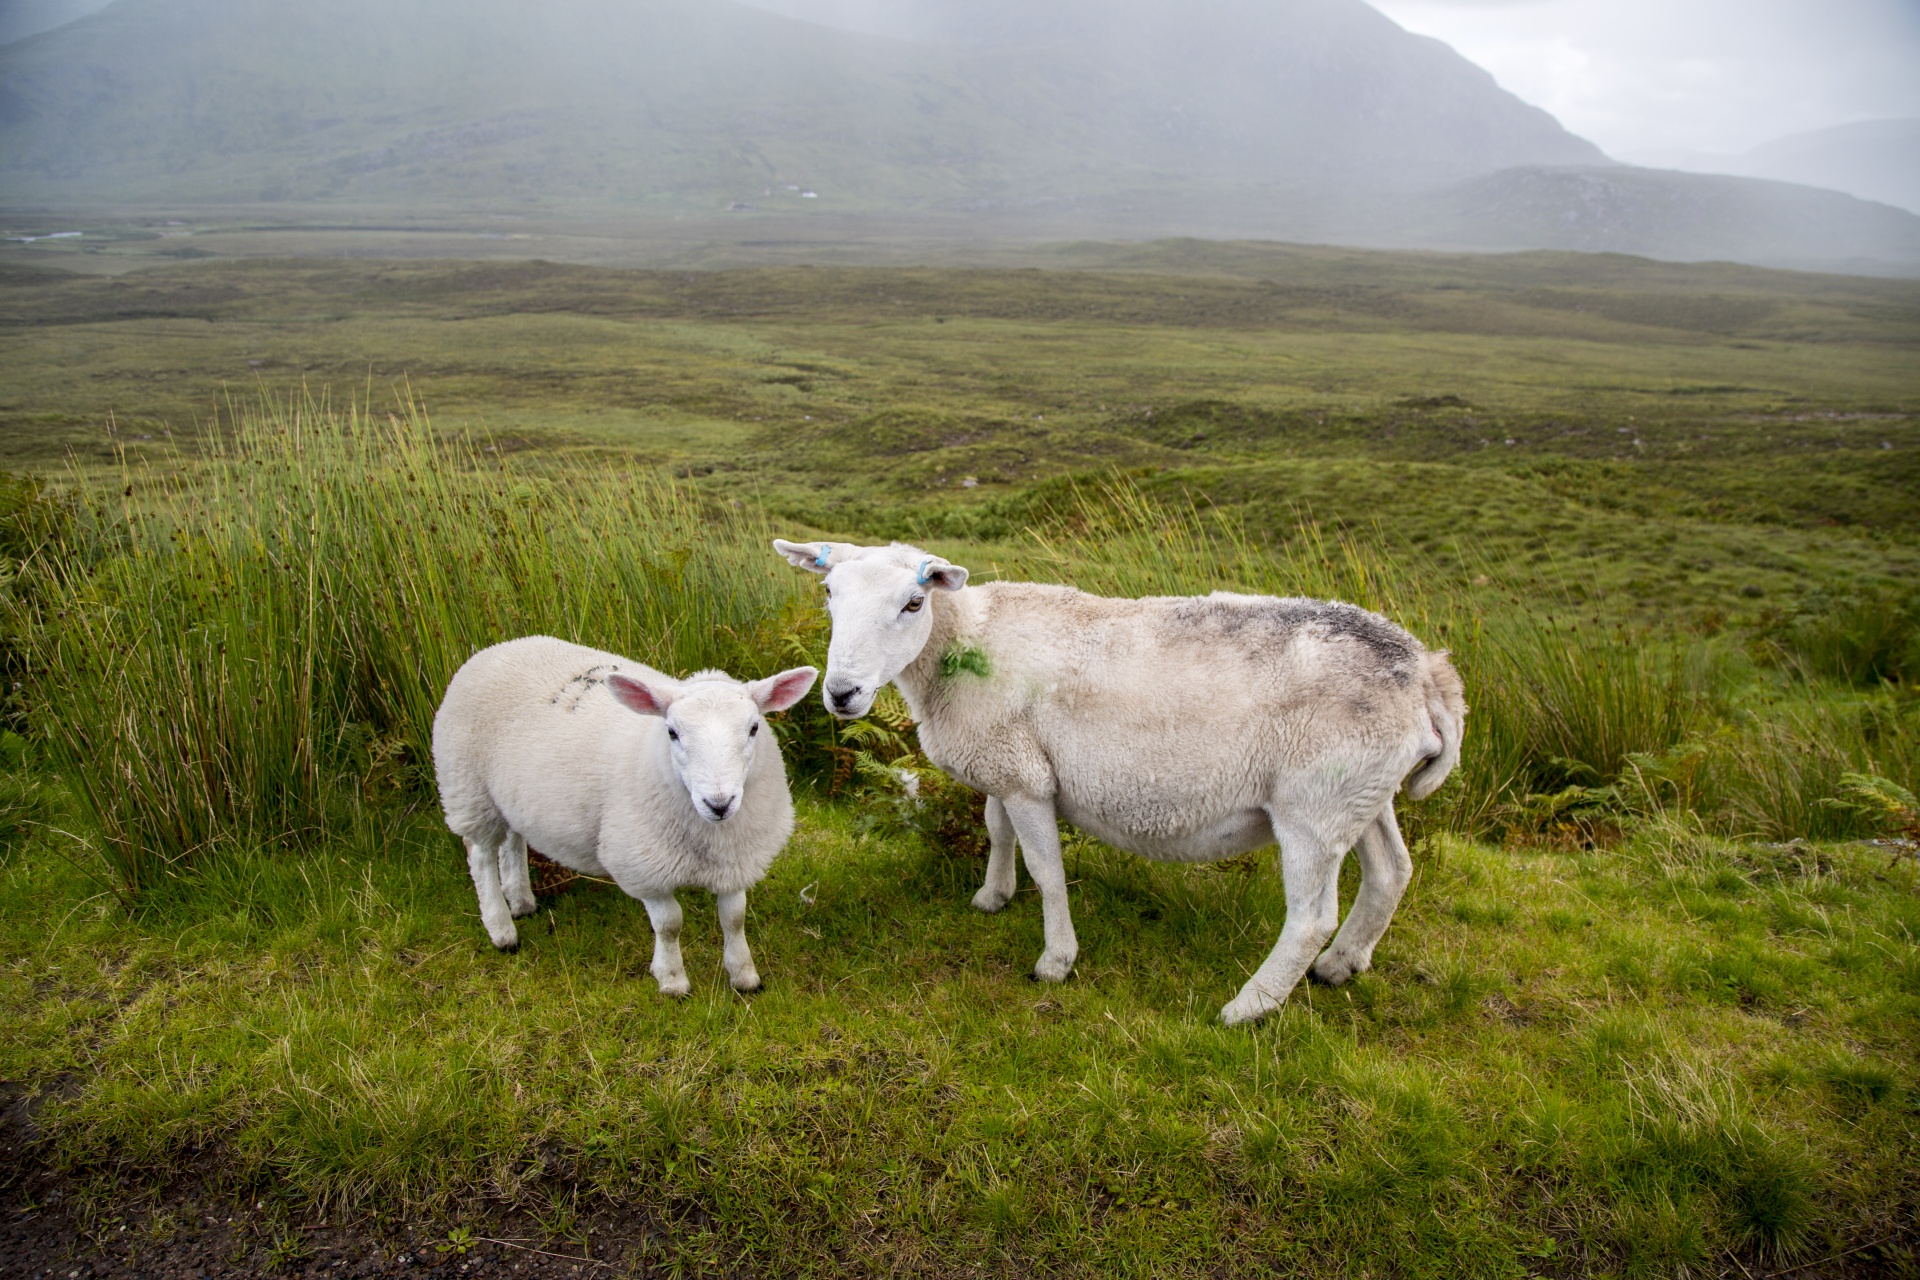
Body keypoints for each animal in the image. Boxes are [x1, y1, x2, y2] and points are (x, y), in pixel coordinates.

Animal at [435, 637, 817, 997]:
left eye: (754, 728)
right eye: (672, 732)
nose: (718, 803)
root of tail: (498, 648)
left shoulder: (736, 860)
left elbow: (734, 918)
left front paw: (744, 976)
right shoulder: (643, 864)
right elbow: (669, 924)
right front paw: (672, 980)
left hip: (508, 796)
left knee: (512, 841)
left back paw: (522, 902)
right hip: (468, 789)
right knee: (481, 855)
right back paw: (502, 930)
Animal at [771, 537, 1459, 1028]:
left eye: (913, 604)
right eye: (828, 593)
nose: (841, 694)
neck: (965, 642)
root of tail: (1427, 670)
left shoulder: (1027, 778)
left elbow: (1047, 870)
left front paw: (1056, 960)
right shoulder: (1005, 760)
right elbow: (995, 829)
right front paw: (993, 896)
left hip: (1313, 805)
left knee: (1311, 917)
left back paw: (1250, 1006)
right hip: (1362, 794)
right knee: (1392, 871)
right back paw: (1341, 965)